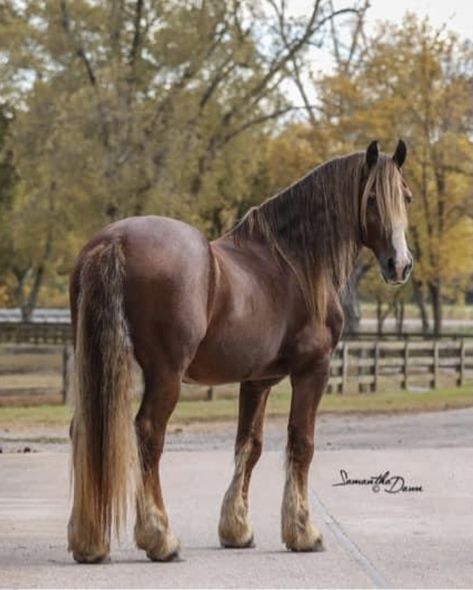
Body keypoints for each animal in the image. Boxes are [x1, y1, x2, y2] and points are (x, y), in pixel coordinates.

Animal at [67, 138, 412, 564]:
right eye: (372, 200)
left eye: (406, 198)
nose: (400, 265)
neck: (296, 262)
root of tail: (115, 240)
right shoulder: (313, 370)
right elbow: (302, 442)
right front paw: (303, 532)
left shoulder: (257, 381)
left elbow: (249, 445)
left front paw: (237, 529)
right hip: (165, 374)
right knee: (148, 433)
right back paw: (160, 538)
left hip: (96, 365)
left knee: (84, 429)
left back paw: (89, 542)